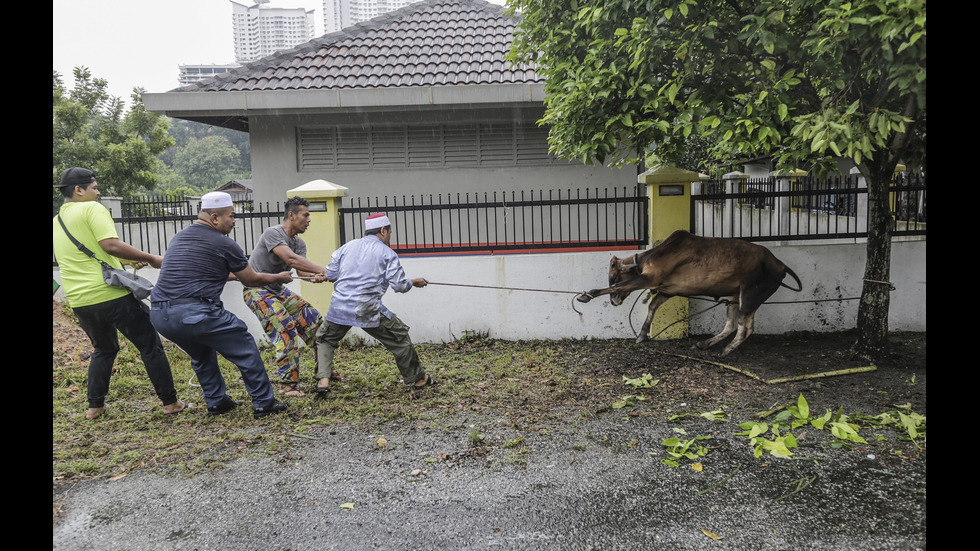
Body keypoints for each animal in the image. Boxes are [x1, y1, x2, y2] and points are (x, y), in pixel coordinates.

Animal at [580, 230, 800, 356]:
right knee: (731, 325)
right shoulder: (666, 290)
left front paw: (586, 295)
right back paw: (704, 344)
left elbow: (622, 287)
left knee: (745, 328)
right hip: (734, 297)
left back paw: (724, 352)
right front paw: (642, 335)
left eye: (614, 275)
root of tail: (780, 265)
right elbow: (652, 306)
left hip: (750, 296)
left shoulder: (649, 278)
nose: (614, 302)